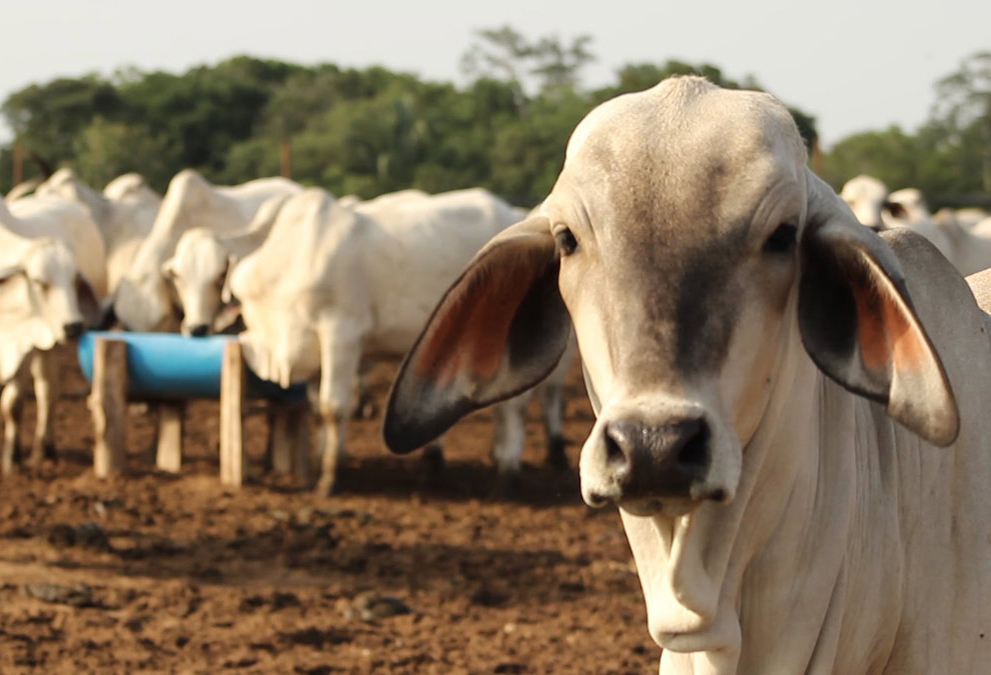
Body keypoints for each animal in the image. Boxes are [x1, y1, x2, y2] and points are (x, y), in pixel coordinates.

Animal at [231, 187, 573, 496]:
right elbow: (317, 410)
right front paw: (322, 463)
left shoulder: (341, 333)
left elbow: (333, 408)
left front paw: (329, 478)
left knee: (516, 406)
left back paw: (507, 477)